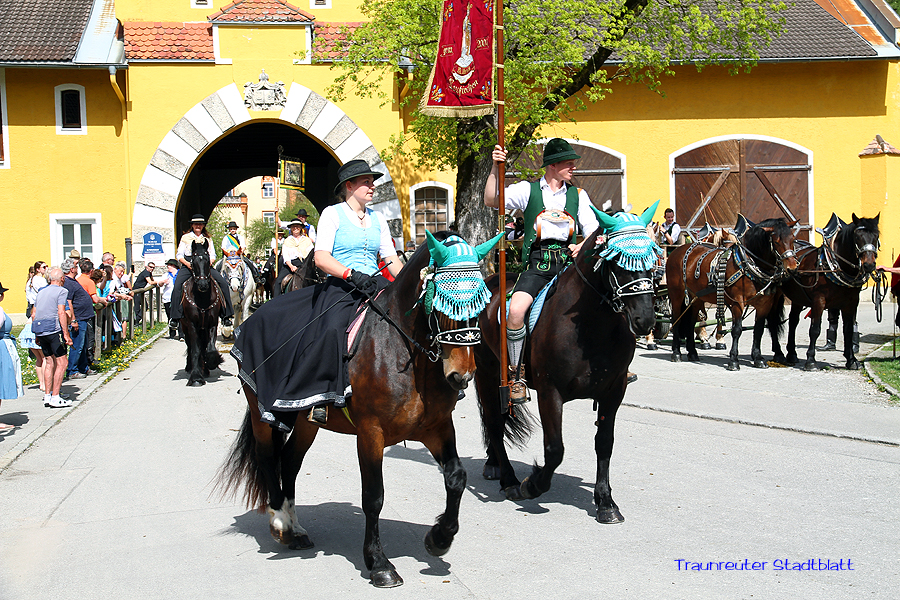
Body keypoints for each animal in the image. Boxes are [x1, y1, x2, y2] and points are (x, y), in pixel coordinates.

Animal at [180, 239, 224, 386]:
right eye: (193, 261)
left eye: (207, 259)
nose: (203, 285)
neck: (202, 299)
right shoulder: (192, 325)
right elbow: (195, 349)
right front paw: (196, 377)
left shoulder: (212, 323)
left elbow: (210, 348)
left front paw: (212, 362)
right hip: (185, 327)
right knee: (190, 345)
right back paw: (191, 367)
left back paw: (205, 369)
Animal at [216, 230, 501, 587]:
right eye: (442, 302)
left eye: (480, 302)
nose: (461, 376)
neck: (405, 353)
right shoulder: (370, 433)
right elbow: (374, 496)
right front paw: (379, 562)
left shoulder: (436, 428)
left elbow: (457, 478)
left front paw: (439, 538)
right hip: (261, 414)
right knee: (268, 458)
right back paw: (281, 523)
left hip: (306, 422)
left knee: (290, 462)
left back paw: (296, 528)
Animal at [474, 203, 660, 523]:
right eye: (618, 260)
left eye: (651, 256)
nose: (645, 319)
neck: (592, 327)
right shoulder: (550, 393)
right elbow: (555, 449)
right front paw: (532, 485)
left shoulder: (613, 392)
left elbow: (604, 443)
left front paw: (606, 501)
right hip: (486, 374)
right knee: (495, 424)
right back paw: (509, 479)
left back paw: (494, 464)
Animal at [666, 217, 798, 370]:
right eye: (776, 241)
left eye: (793, 239)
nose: (792, 268)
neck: (747, 264)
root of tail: (677, 251)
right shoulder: (737, 303)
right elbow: (737, 330)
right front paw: (733, 360)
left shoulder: (764, 304)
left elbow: (759, 330)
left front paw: (758, 358)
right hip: (677, 295)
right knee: (676, 320)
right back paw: (676, 353)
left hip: (696, 298)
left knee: (691, 323)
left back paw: (692, 352)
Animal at [778, 214, 880, 371]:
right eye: (857, 236)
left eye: (876, 236)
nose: (869, 265)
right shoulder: (818, 300)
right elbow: (815, 329)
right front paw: (811, 360)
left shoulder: (851, 303)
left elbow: (848, 330)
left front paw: (851, 360)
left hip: (798, 298)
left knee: (793, 321)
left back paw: (791, 354)